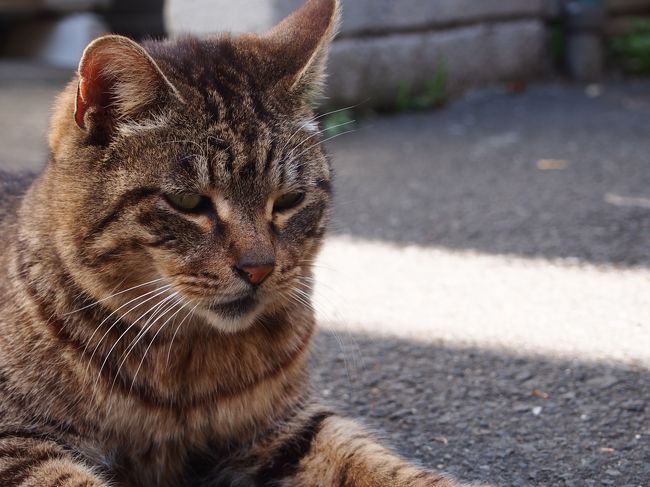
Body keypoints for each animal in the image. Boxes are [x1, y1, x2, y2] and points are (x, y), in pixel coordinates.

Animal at [0, 0, 480, 486]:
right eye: (189, 201)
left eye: (288, 199)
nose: (259, 268)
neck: (188, 366)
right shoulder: (17, 442)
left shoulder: (286, 428)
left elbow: (372, 463)